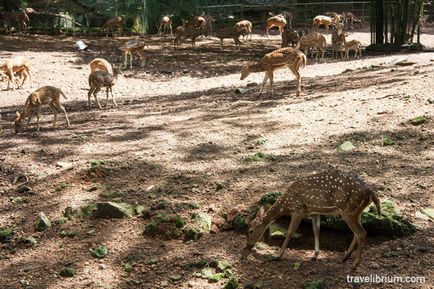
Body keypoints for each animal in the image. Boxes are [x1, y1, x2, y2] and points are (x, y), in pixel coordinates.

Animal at [246, 170, 382, 266]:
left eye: (250, 231)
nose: (247, 246)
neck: (287, 204)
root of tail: (371, 193)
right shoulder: (314, 212)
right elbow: (316, 230)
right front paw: (315, 255)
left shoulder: (298, 210)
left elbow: (290, 232)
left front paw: (277, 256)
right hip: (356, 212)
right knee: (356, 233)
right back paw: (344, 258)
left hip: (348, 210)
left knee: (361, 233)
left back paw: (355, 264)